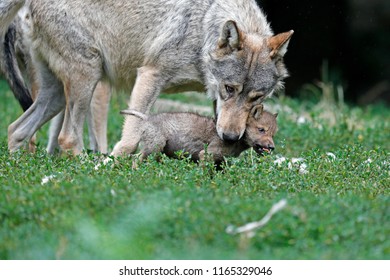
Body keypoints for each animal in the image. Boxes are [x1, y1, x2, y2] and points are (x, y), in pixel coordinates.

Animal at [0, 0, 292, 156]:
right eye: (229, 88)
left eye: (256, 99)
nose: (231, 137)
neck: (202, 31)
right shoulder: (150, 75)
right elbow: (130, 137)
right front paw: (114, 165)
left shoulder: (215, 104)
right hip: (89, 77)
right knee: (67, 138)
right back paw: (90, 166)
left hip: (58, 95)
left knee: (16, 130)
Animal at [121, 104, 278, 164]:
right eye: (261, 130)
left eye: (273, 134)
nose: (272, 147)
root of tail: (147, 117)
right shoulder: (206, 155)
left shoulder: (220, 160)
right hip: (154, 147)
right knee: (135, 158)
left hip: (158, 152)